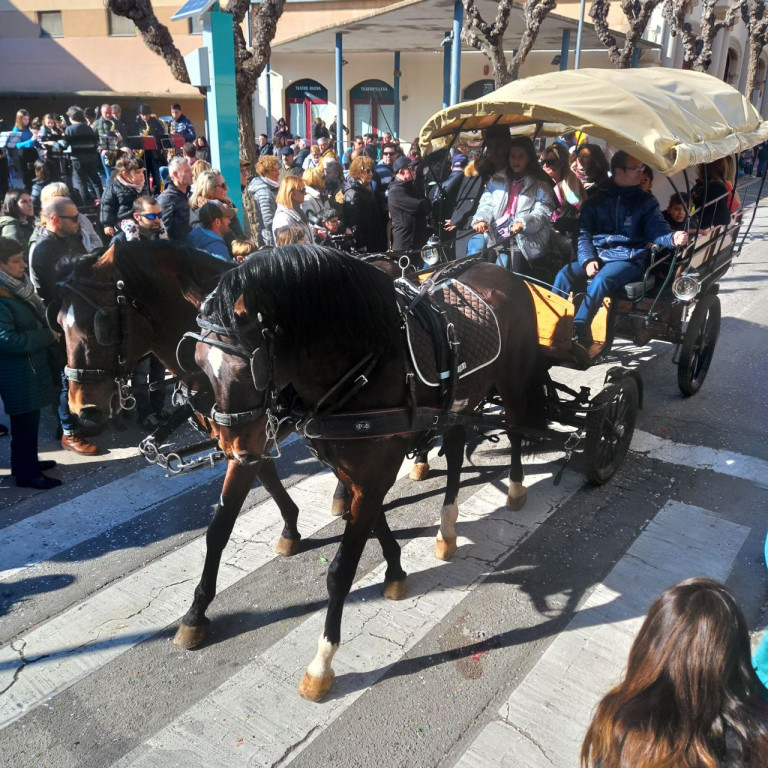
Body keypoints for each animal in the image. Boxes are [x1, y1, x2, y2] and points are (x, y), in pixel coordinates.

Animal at [192, 246, 540, 704]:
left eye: (248, 367)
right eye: (199, 363)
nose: (232, 447)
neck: (364, 365)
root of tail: (502, 268)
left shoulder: (372, 475)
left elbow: (341, 570)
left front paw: (321, 665)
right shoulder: (357, 471)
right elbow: (373, 523)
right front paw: (395, 571)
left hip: (513, 381)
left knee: (516, 430)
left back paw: (515, 488)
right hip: (457, 404)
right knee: (455, 445)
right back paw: (447, 530)